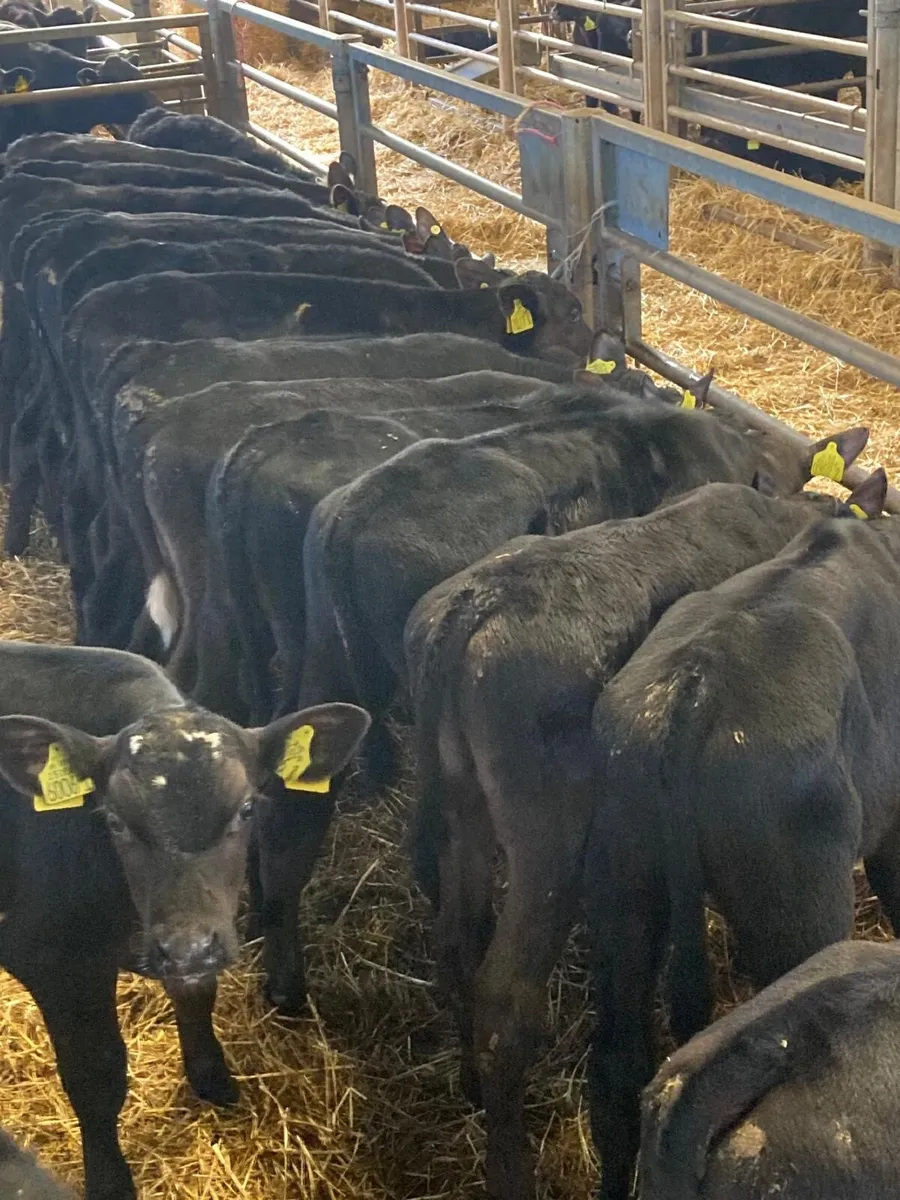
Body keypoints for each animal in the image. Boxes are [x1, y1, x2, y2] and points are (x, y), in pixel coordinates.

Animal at [0, 639, 368, 1200]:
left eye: (246, 809)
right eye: (114, 821)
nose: (188, 947)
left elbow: (197, 996)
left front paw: (210, 1075)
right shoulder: (54, 961)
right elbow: (96, 1075)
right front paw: (110, 1182)